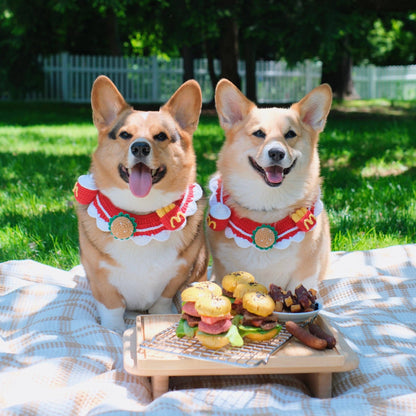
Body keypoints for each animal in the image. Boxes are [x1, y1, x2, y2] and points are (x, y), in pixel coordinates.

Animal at [74, 75, 208, 332]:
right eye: (125, 135)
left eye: (161, 136)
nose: (139, 147)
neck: (142, 213)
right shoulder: (100, 277)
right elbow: (112, 307)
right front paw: (114, 331)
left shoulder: (179, 272)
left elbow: (163, 300)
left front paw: (161, 315)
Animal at [207, 79, 332, 292]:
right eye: (259, 133)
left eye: (290, 134)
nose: (276, 153)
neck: (267, 206)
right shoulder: (223, 270)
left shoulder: (305, 273)